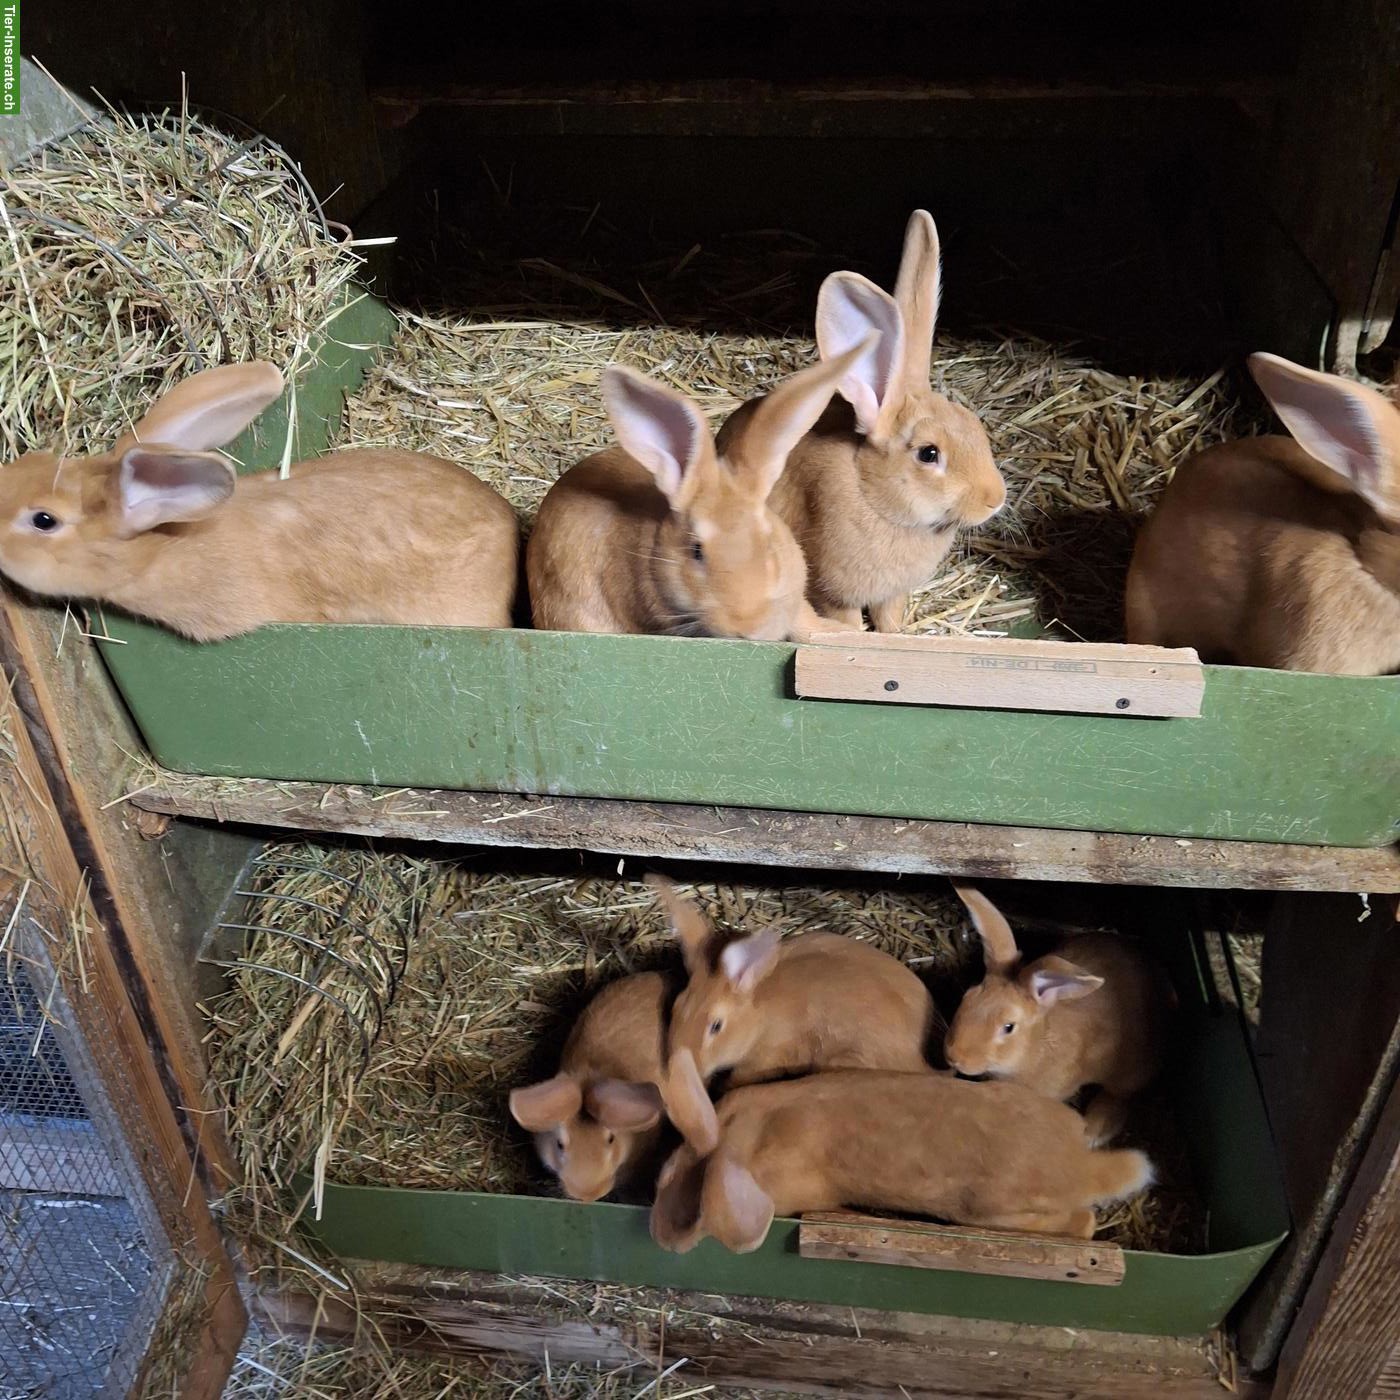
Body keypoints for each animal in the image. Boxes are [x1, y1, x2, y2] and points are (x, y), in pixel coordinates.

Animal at [651, 1062, 1155, 1253]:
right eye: (662, 1177)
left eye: (699, 1216)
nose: (660, 1240)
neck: (748, 1138)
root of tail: (1081, 1164)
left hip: (999, 1212)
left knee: (1083, 1223)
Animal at [714, 210, 1006, 632]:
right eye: (928, 454)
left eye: (974, 426)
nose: (995, 500)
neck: (877, 500)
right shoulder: (835, 592)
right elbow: (850, 620)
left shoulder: (892, 594)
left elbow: (889, 616)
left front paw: (898, 634)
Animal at [944, 883, 1174, 1146]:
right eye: (967, 997)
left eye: (1008, 1027)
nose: (955, 1057)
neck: (1036, 1047)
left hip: (1131, 1068)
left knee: (1120, 1094)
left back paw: (1094, 1130)